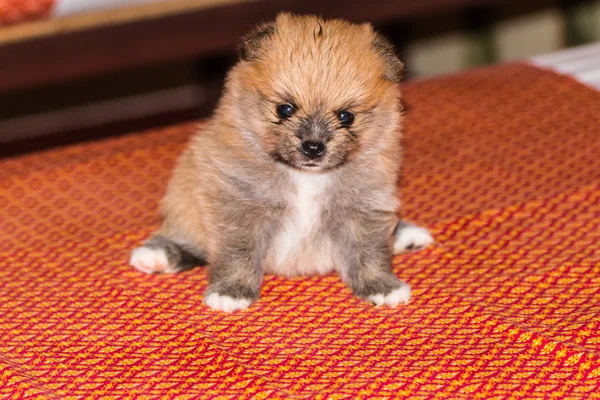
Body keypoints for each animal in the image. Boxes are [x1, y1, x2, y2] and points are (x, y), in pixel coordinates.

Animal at [130, 12, 432, 312]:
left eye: (346, 117)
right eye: (285, 109)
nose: (313, 147)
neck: (306, 176)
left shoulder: (364, 208)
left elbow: (369, 252)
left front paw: (381, 286)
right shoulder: (239, 207)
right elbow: (237, 252)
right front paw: (231, 292)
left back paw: (407, 236)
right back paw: (156, 255)